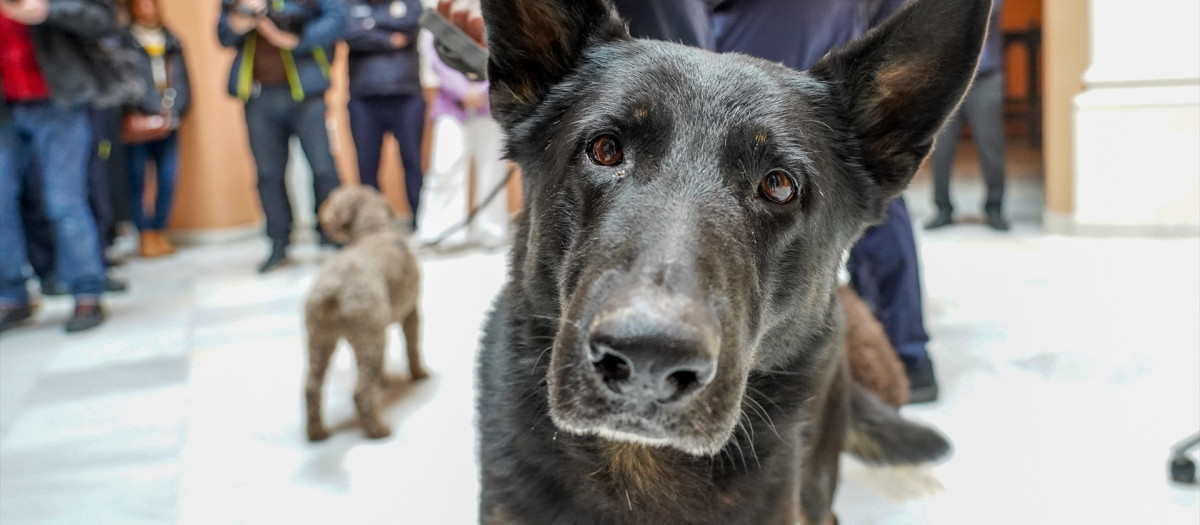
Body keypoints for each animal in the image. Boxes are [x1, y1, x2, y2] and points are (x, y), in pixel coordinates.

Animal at [304, 186, 427, 441]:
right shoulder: (411, 311)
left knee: (311, 388)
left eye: (333, 200)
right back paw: (377, 430)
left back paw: (316, 432)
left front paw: (383, 380)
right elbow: (413, 346)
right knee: (360, 392)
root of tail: (333, 286)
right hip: (370, 337)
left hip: (320, 339)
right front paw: (419, 373)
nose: (323, 215)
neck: (374, 231)